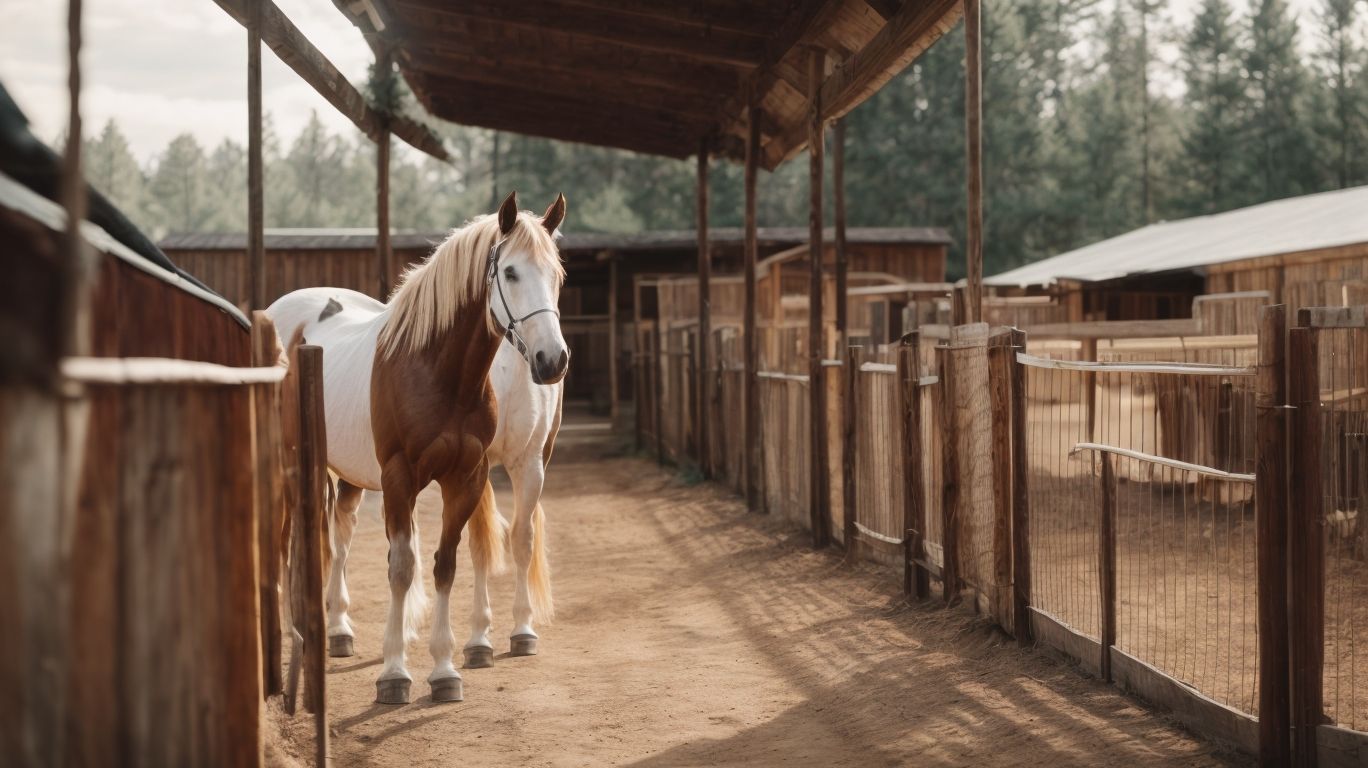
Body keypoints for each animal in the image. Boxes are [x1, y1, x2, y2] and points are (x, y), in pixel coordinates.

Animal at [266, 192, 568, 704]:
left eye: (557, 274)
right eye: (510, 272)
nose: (553, 360)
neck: (433, 370)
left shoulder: (467, 478)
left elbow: (447, 563)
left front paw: (445, 669)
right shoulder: (399, 478)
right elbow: (402, 568)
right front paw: (394, 673)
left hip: (348, 472)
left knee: (340, 535)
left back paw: (338, 631)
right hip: (291, 464)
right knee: (290, 539)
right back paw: (296, 635)